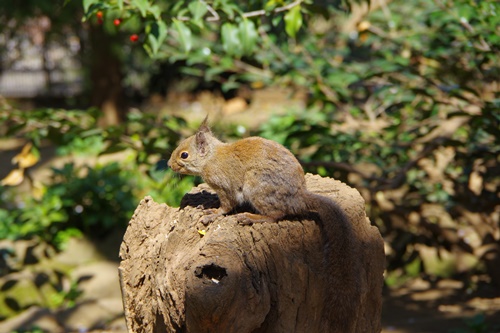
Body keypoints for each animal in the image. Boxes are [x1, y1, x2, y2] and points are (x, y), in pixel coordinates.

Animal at [168, 118, 360, 330]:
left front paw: (213, 214)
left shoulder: (226, 187)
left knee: (276, 214)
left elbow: (226, 206)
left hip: (258, 189)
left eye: (184, 154)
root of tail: (298, 198)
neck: (211, 158)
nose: (169, 165)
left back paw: (251, 218)